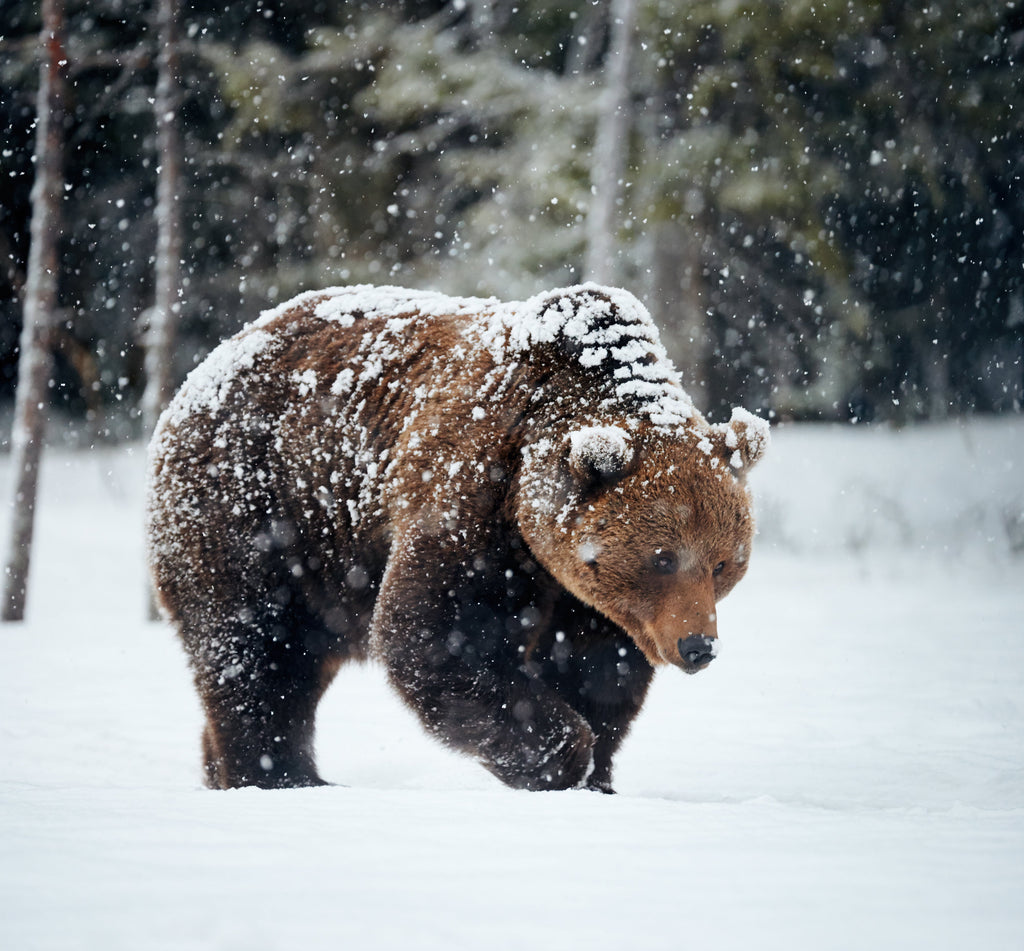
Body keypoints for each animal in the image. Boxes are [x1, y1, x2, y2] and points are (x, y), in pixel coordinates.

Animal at [146, 283, 768, 793]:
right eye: (663, 558)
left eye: (722, 564)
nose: (698, 646)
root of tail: (199, 375)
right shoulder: (474, 494)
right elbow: (438, 634)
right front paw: (563, 756)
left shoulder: (587, 598)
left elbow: (599, 671)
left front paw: (598, 773)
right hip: (260, 511)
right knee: (256, 649)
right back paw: (280, 775)